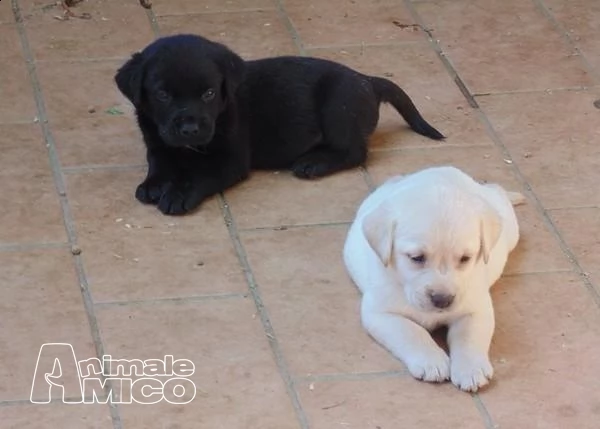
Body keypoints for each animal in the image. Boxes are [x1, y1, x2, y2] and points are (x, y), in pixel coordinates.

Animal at [115, 33, 442, 216]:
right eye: (162, 95)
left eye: (208, 93)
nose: (190, 130)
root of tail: (369, 82)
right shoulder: (157, 141)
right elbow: (159, 162)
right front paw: (154, 184)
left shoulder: (231, 160)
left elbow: (199, 175)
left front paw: (178, 193)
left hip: (338, 103)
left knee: (355, 152)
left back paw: (313, 163)